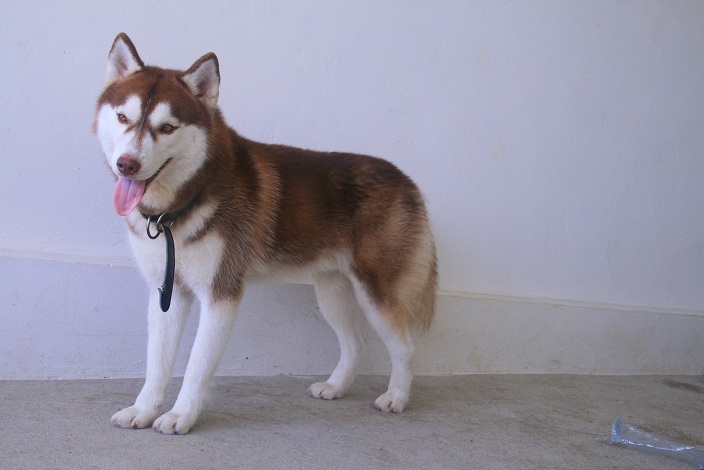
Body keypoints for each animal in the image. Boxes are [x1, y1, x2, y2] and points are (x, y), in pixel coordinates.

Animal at [94, 33, 437, 434]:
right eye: (123, 117)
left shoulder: (221, 294)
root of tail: (407, 180)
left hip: (376, 292)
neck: (178, 208)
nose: (127, 164)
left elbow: (196, 366)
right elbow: (157, 363)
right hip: (331, 290)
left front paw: (181, 416)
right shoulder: (168, 291)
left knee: (404, 348)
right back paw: (335, 387)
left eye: (167, 127)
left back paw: (396, 397)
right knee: (355, 345)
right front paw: (143, 409)